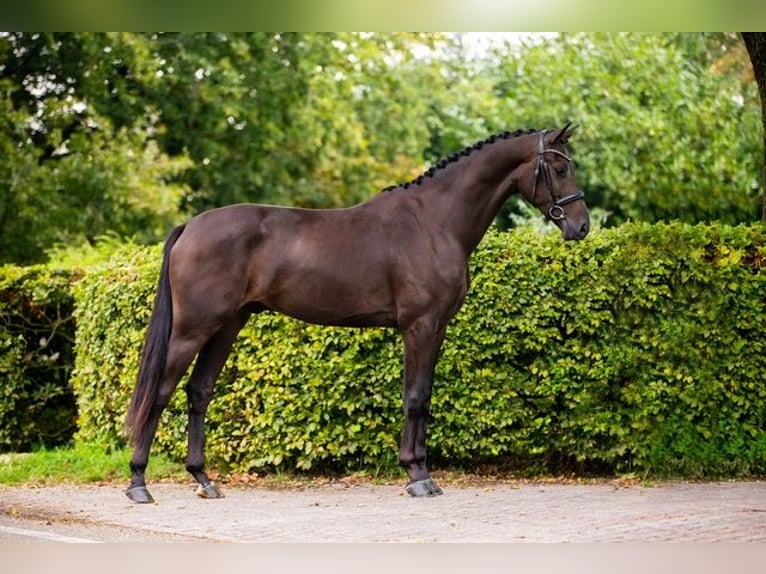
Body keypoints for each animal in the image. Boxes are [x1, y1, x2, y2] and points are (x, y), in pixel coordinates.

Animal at [124, 125, 588, 504]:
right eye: (559, 168)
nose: (581, 227)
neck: (434, 221)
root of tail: (190, 227)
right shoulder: (418, 326)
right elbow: (414, 397)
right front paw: (417, 476)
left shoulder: (437, 328)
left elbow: (424, 397)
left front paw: (422, 471)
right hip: (192, 329)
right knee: (160, 392)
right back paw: (139, 484)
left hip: (227, 325)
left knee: (198, 392)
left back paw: (204, 480)